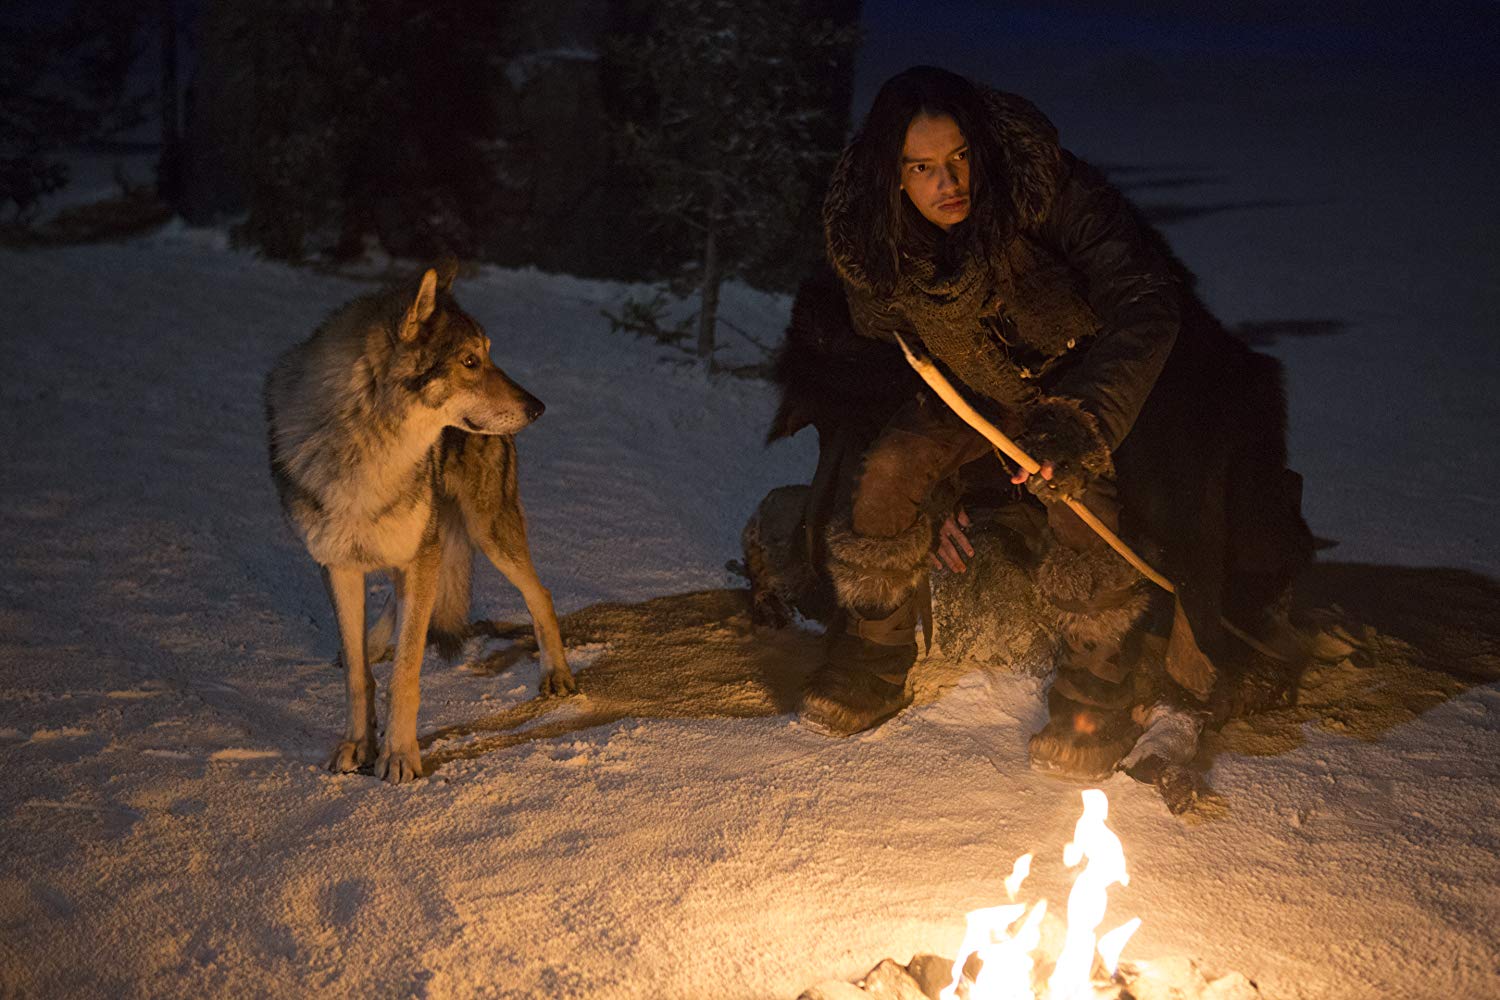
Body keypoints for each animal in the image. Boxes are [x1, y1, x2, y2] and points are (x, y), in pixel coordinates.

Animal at [264, 262, 573, 785]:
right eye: (469, 361)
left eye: (487, 355)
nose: (539, 408)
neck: (369, 453)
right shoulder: (338, 564)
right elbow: (359, 678)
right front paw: (357, 745)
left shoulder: (421, 553)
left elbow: (405, 675)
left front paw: (399, 755)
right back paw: (371, 643)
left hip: (487, 531)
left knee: (541, 594)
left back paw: (557, 675)